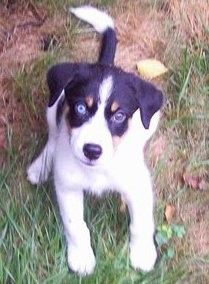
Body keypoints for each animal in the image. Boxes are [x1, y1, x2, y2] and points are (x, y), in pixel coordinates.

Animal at [26, 6, 163, 276]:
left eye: (119, 115)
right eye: (80, 107)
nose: (92, 150)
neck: (98, 171)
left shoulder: (138, 185)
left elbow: (141, 222)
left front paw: (142, 254)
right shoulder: (67, 186)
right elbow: (75, 226)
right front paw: (81, 257)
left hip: (153, 118)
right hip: (54, 104)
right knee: (54, 135)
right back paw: (40, 167)